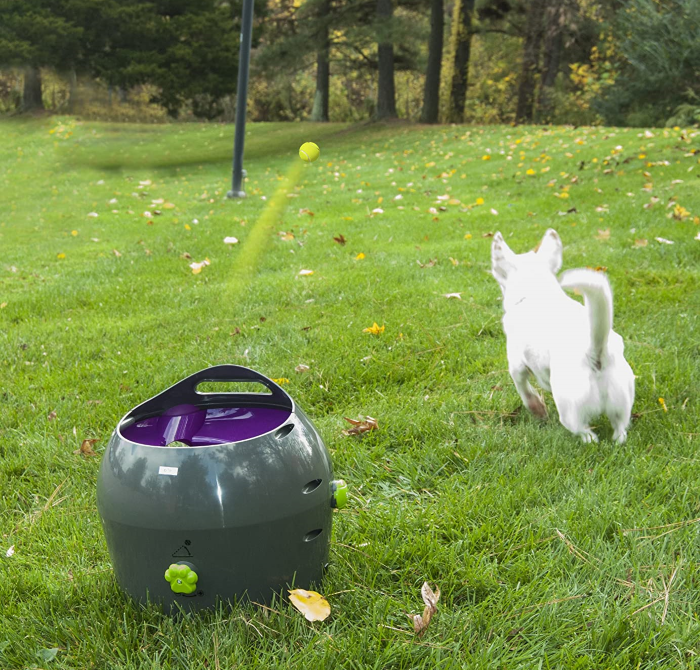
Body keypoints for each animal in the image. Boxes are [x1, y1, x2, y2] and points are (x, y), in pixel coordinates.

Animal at [492, 228, 636, 444]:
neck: (536, 291)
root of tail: (596, 353)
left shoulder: (516, 364)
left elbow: (524, 389)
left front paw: (537, 409)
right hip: (622, 403)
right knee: (620, 430)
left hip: (569, 410)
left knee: (585, 433)